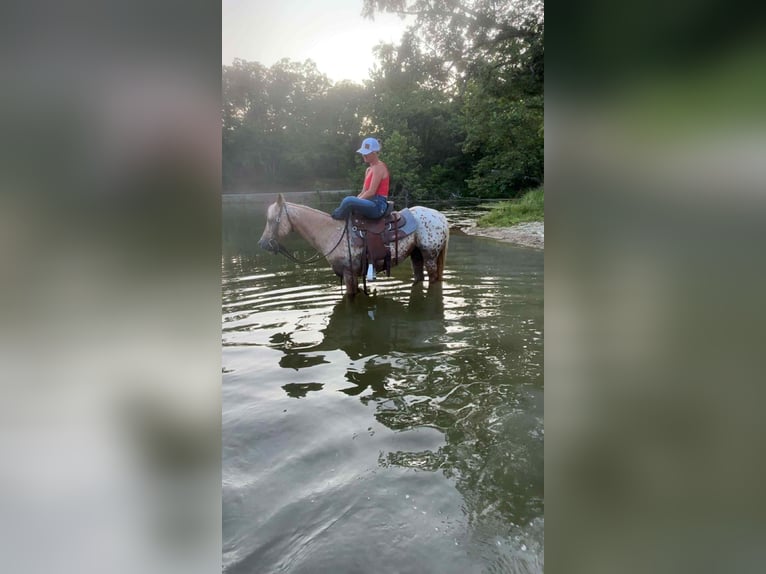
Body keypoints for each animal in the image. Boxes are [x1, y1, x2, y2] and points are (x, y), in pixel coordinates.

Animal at [258, 193, 449, 296]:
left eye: (271, 220)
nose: (262, 244)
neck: (330, 232)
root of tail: (440, 217)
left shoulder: (348, 274)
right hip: (416, 255)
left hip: (430, 256)